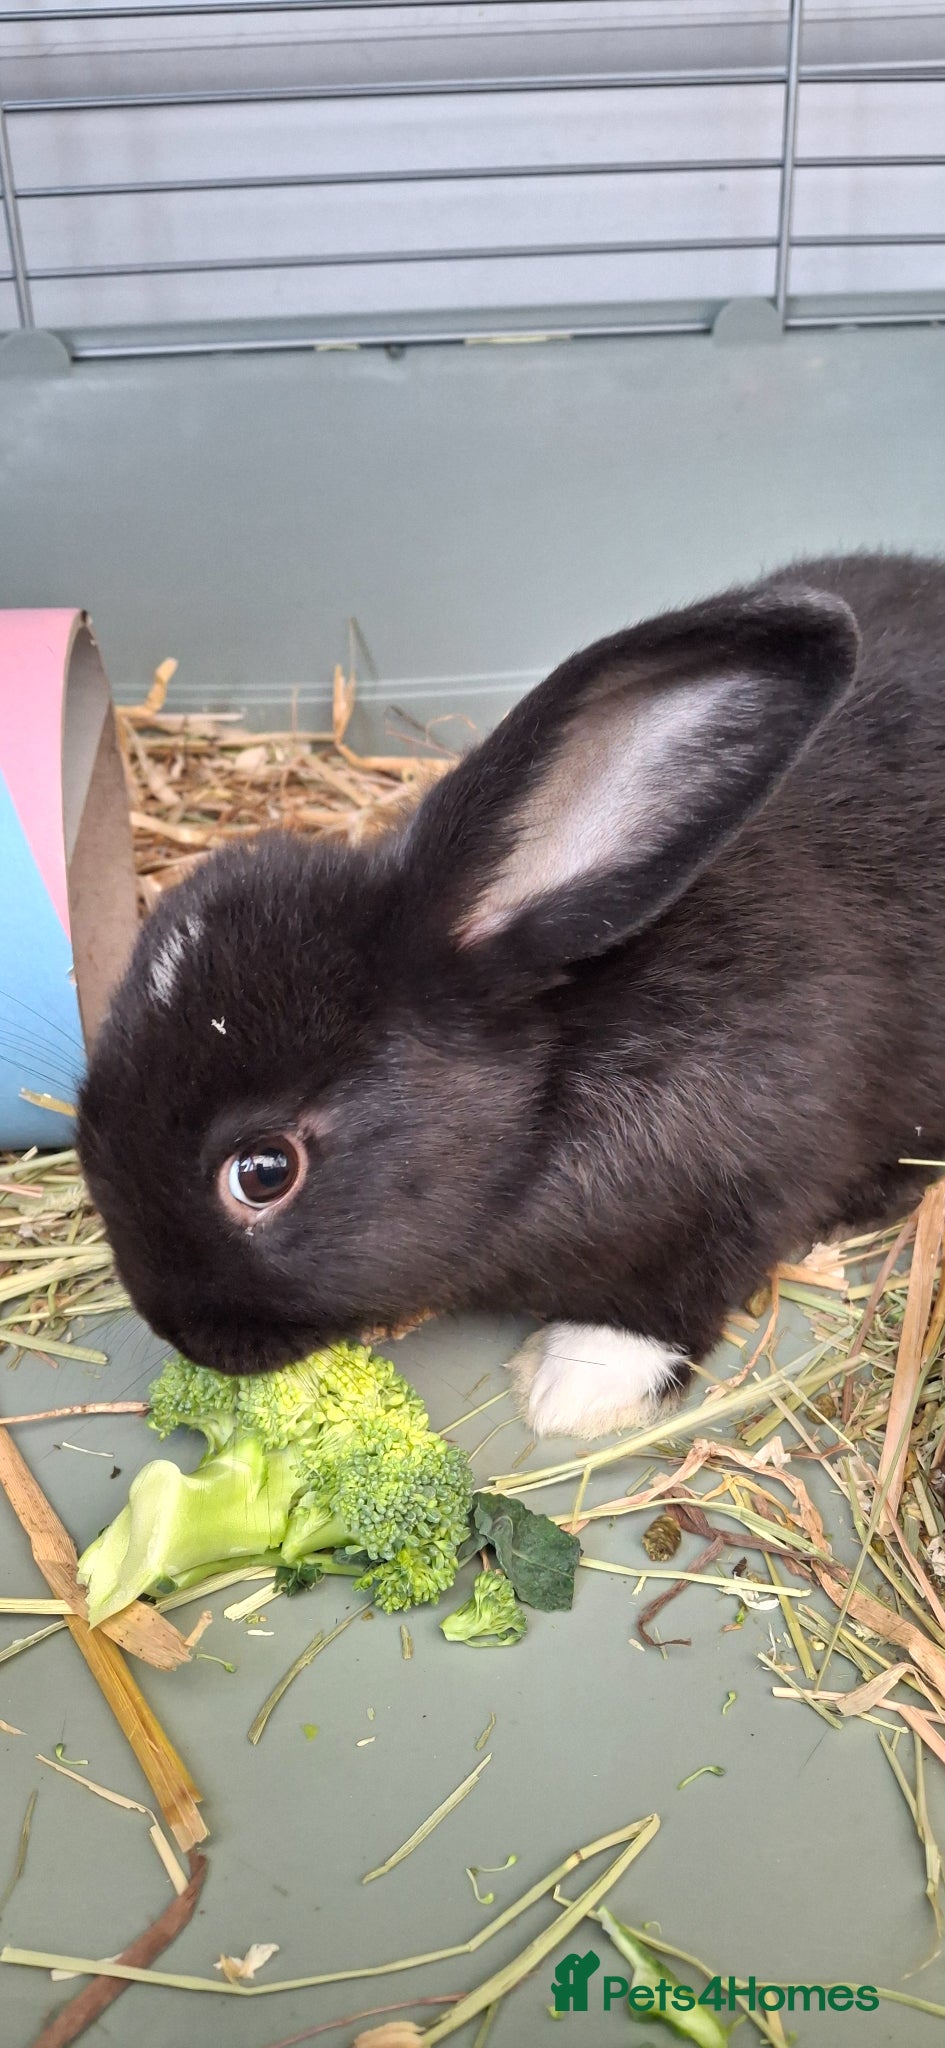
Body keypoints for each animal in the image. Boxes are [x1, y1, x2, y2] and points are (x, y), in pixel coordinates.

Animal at [77, 551, 945, 1441]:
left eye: (262, 1173)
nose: (180, 1330)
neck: (551, 1080)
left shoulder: (754, 1177)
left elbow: (679, 1290)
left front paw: (572, 1387)